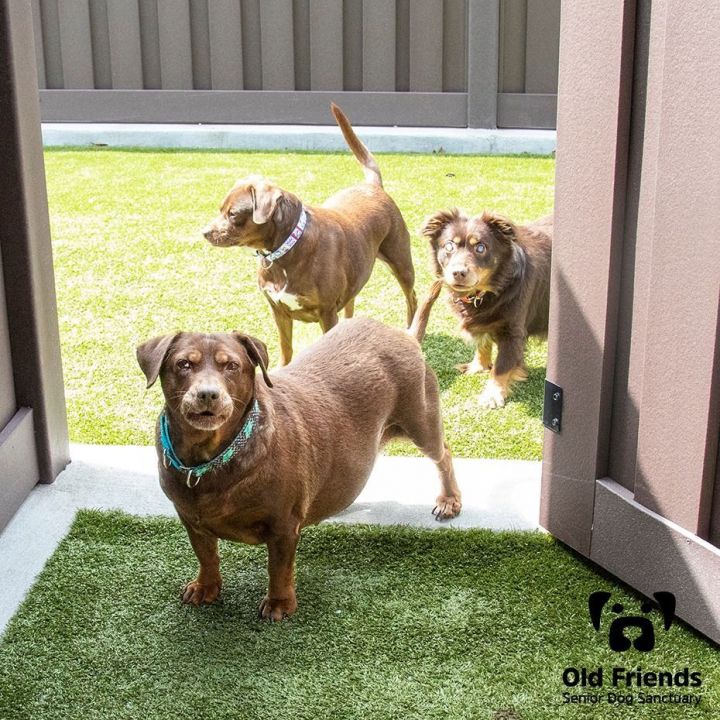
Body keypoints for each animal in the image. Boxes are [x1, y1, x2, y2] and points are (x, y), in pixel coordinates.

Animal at [410, 211, 552, 408]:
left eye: (480, 247)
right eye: (449, 246)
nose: (458, 272)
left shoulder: (512, 332)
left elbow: (502, 366)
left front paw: (493, 394)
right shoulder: (481, 322)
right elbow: (482, 344)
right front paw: (479, 367)